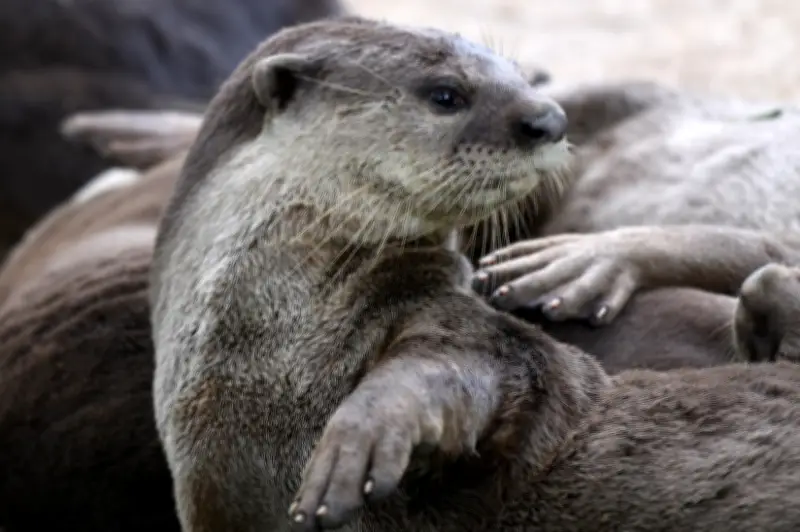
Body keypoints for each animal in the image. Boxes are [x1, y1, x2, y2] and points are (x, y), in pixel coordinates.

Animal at [150, 16, 800, 532]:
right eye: (445, 94)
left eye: (520, 76)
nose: (550, 117)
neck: (272, 350)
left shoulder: (472, 331)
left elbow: (473, 365)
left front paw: (361, 435)